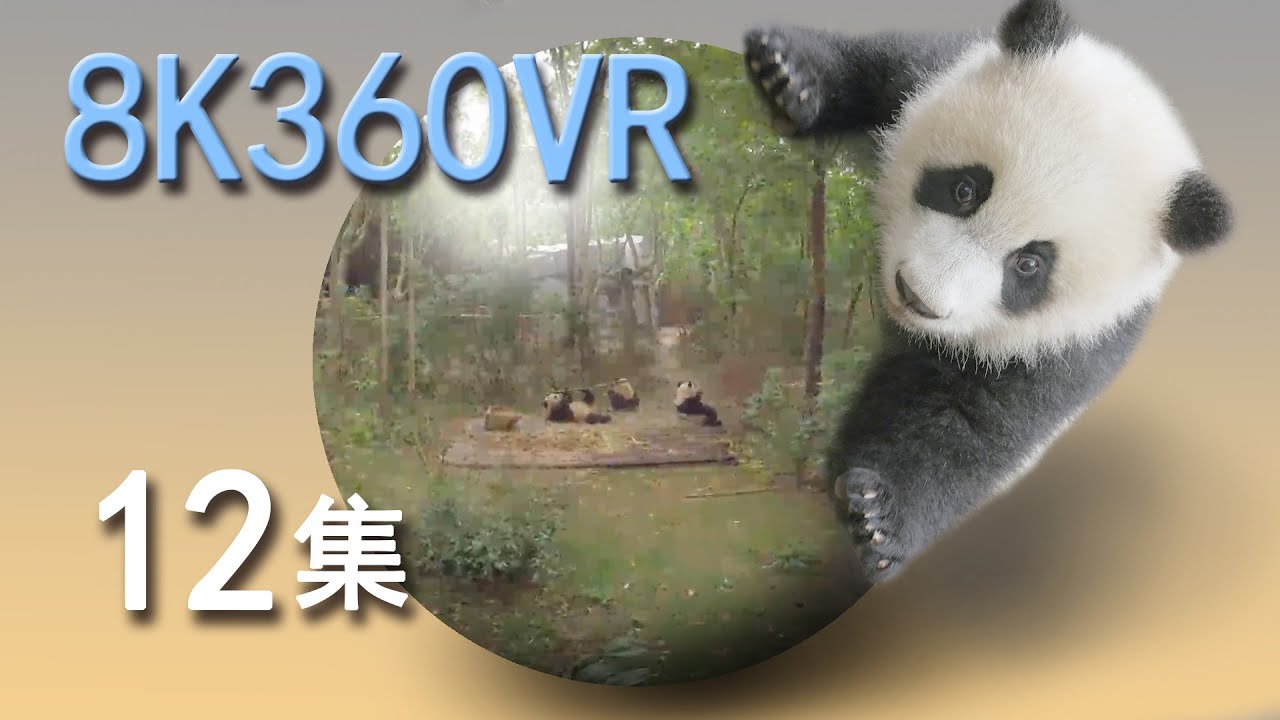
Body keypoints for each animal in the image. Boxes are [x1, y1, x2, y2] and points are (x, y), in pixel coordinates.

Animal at [744, 0, 1234, 584]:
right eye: (965, 188)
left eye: (1028, 265)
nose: (916, 294)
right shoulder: (932, 70)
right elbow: (877, 66)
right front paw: (789, 75)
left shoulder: (1073, 344)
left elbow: (968, 424)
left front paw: (880, 517)